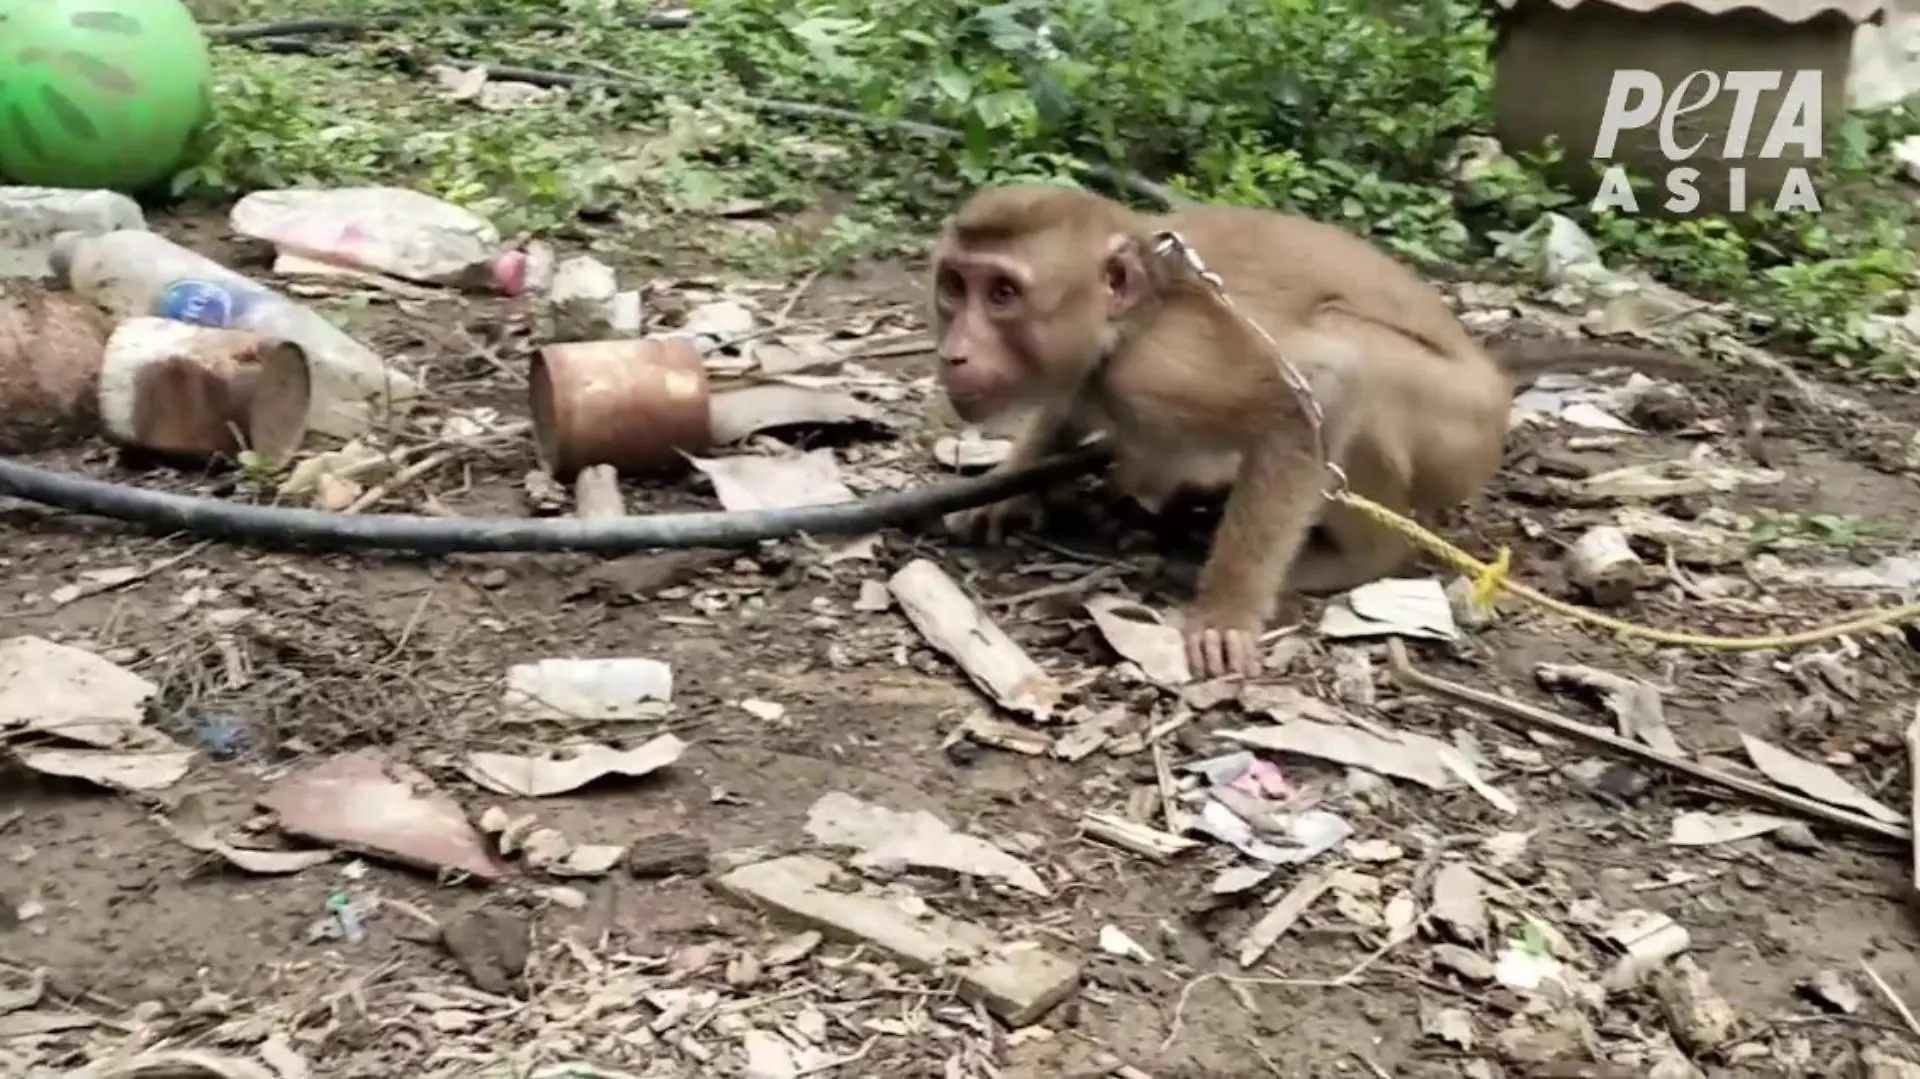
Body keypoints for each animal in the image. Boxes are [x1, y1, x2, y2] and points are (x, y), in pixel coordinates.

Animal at [926, 184, 1701, 679]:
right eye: (954, 287)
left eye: (1003, 295)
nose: (954, 352)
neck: (1138, 311)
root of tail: (1491, 371)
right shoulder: (1096, 373)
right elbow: (1066, 407)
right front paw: (1006, 489)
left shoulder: (1162, 367)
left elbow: (1317, 391)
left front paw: (1227, 609)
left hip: (1458, 430)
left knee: (1359, 356)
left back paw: (1354, 559)